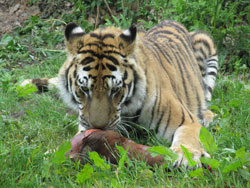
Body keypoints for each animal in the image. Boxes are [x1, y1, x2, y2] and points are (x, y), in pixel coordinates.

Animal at [21, 20, 218, 167]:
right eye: (84, 89)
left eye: (115, 90)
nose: (98, 129)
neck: (127, 109)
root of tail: (170, 21)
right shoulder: (83, 125)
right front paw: (50, 154)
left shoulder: (186, 120)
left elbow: (187, 140)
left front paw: (185, 157)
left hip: (205, 43)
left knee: (207, 98)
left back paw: (207, 117)